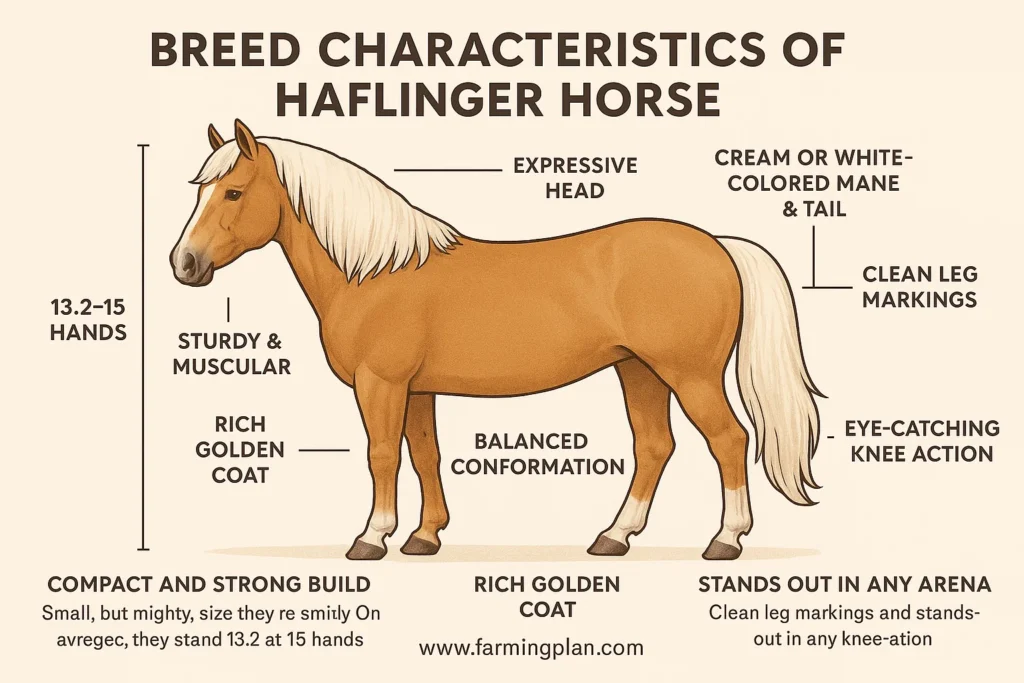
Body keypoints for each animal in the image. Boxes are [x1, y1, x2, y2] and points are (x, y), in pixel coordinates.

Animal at [170, 119, 823, 561]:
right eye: (198, 190)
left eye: (233, 192)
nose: (184, 264)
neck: (374, 271)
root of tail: (717, 243)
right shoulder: (416, 389)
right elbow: (424, 454)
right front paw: (425, 536)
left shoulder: (380, 385)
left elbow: (382, 455)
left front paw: (372, 537)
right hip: (639, 371)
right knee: (655, 447)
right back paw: (614, 537)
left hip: (688, 375)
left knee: (729, 440)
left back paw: (725, 540)